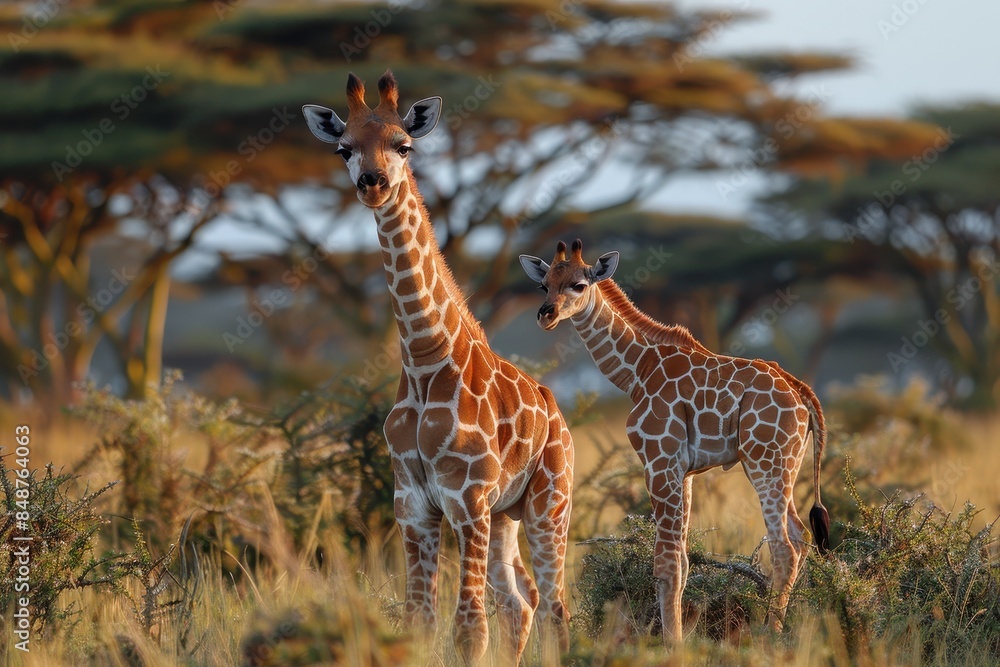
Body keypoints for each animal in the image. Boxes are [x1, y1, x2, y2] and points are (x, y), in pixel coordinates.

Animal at [303, 72, 574, 665]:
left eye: (404, 144)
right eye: (344, 148)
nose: (373, 182)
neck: (425, 358)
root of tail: (558, 414)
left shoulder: (467, 497)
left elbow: (469, 628)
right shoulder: (413, 505)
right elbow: (420, 621)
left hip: (549, 503)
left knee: (554, 607)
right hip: (505, 516)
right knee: (521, 603)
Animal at [519, 239, 830, 643]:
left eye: (578, 285)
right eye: (544, 285)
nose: (546, 315)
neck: (638, 368)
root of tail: (801, 390)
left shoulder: (659, 460)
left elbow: (666, 563)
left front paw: (672, 644)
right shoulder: (684, 471)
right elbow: (682, 561)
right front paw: (676, 636)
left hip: (766, 461)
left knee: (784, 548)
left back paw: (770, 636)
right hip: (781, 465)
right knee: (801, 536)